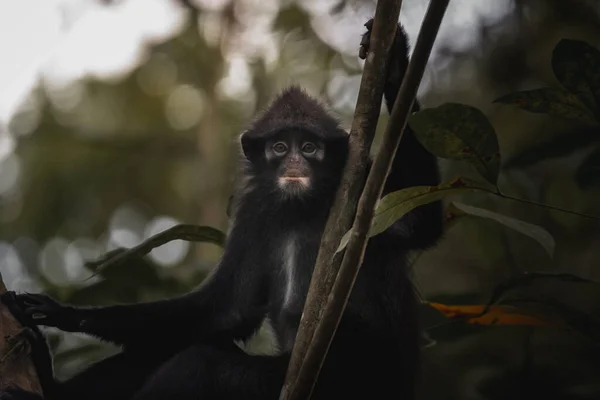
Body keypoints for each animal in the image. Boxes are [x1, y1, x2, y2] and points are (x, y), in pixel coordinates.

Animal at [0, 19, 440, 400]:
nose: (294, 164)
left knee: (202, 364)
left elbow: (422, 222)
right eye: (280, 147)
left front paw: (395, 63)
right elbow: (224, 311)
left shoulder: (360, 186)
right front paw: (65, 314)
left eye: (309, 148)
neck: (301, 210)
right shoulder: (254, 212)